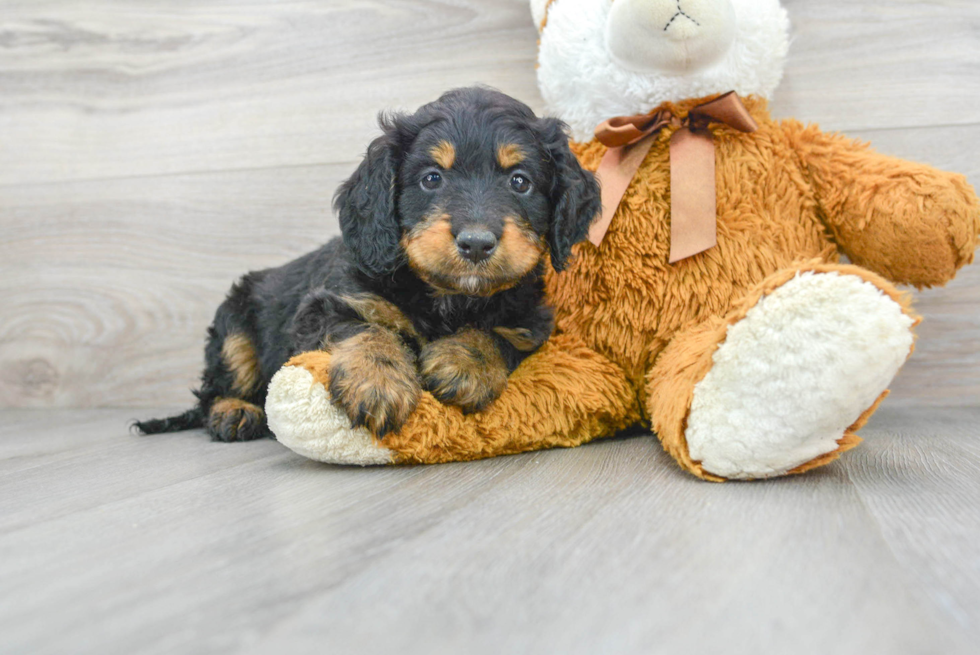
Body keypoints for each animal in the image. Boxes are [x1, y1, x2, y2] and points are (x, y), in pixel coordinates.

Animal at [135, 87, 600, 444]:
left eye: (520, 182)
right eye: (432, 178)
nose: (476, 243)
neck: (448, 298)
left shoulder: (530, 323)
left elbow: (497, 334)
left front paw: (465, 362)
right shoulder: (326, 304)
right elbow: (367, 328)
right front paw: (378, 383)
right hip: (233, 328)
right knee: (214, 389)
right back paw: (234, 412)